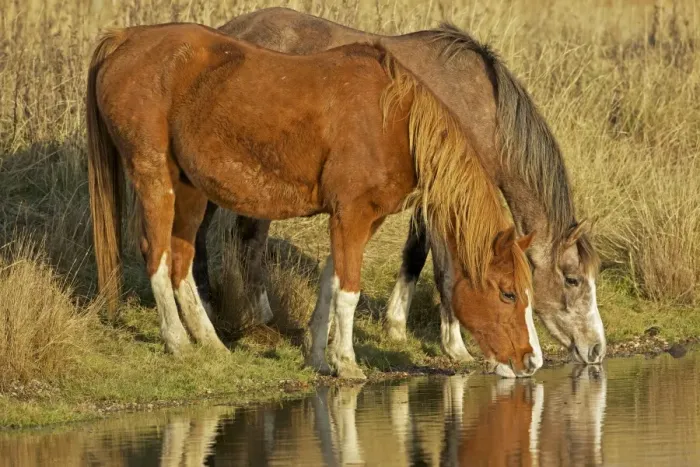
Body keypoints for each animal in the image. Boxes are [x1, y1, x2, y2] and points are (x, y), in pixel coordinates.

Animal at [86, 23, 541, 379]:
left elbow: (331, 283)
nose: (531, 361)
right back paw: (177, 341)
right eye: (508, 294)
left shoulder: (358, 219)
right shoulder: (352, 216)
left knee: (181, 260)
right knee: (157, 255)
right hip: (154, 179)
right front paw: (348, 362)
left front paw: (321, 358)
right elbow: (349, 290)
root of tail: (124, 39)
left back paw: (210, 342)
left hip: (190, 189)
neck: (392, 122)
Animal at [191, 7, 606, 365]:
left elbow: (414, 254)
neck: (480, 108)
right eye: (572, 279)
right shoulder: (447, 200)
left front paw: (395, 325)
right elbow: (445, 268)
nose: (597, 349)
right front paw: (455, 345)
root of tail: (230, 31)